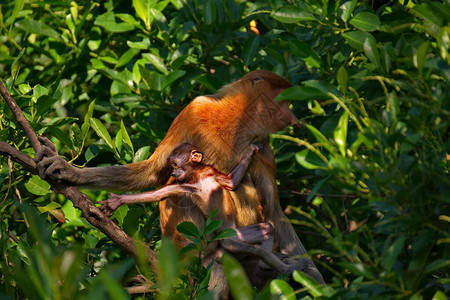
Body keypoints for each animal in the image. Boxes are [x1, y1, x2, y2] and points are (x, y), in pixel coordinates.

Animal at [34, 69, 324, 290]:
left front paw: (314, 275)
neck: (237, 119)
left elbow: (273, 208)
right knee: (183, 198)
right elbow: (153, 172)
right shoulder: (195, 110)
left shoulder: (262, 144)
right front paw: (68, 170)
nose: (294, 119)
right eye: (284, 102)